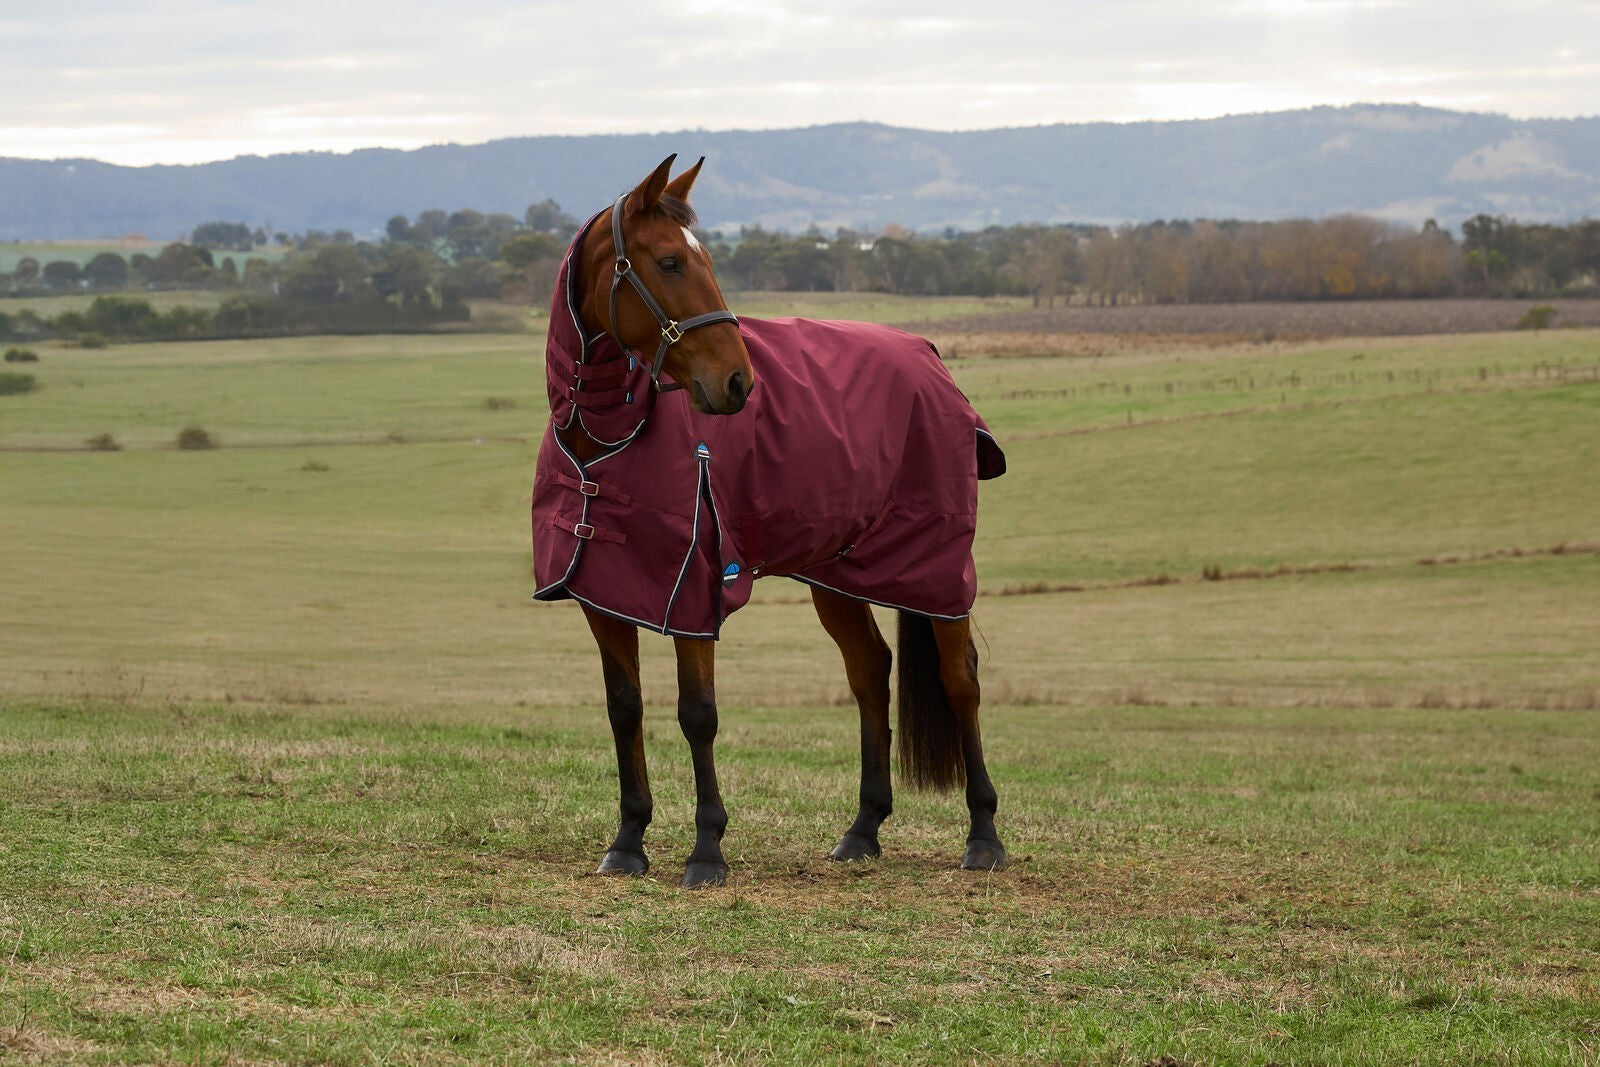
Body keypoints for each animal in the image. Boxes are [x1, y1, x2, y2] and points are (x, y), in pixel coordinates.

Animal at [531, 155, 1007, 887]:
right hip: (837, 575)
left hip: (935, 570)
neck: (612, 431)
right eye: (670, 261)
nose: (738, 383)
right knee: (870, 671)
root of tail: (928, 355)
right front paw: (629, 840)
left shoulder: (691, 592)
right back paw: (863, 829)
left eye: (704, 259)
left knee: (962, 680)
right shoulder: (605, 593)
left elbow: (697, 714)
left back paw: (983, 834)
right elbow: (624, 708)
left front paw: (706, 849)